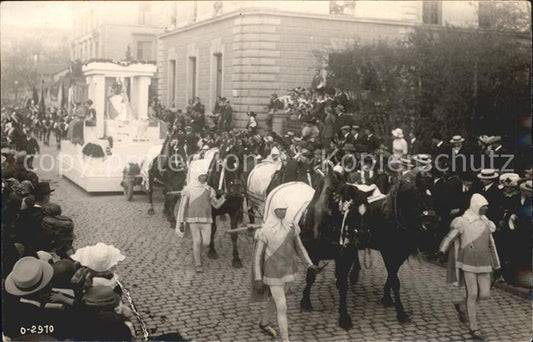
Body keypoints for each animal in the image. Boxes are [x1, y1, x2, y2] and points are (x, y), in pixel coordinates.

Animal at [360, 172, 438, 322]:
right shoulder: (387, 252)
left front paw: (386, 298)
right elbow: (395, 280)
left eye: (433, 199)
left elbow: (392, 276)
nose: (430, 228)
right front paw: (401, 312)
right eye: (418, 199)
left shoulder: (402, 252)